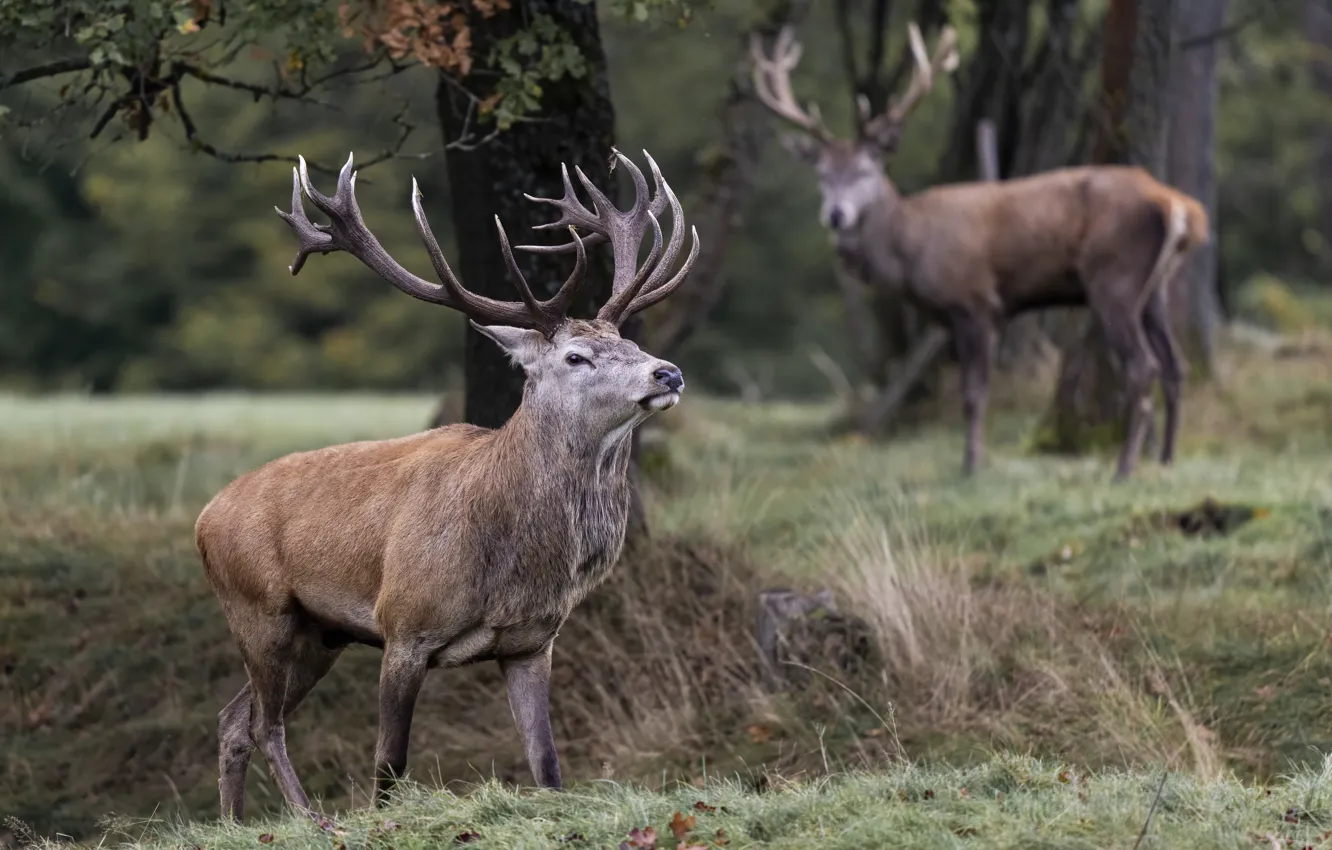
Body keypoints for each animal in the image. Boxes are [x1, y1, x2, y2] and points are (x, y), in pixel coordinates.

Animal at [194, 148, 698, 822]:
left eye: (629, 341)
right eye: (576, 357)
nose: (667, 372)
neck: (512, 565)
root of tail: (204, 518)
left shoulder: (532, 643)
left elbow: (548, 766)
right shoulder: (404, 625)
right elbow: (388, 763)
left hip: (320, 634)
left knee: (233, 719)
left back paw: (233, 823)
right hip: (259, 608)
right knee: (264, 723)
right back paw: (307, 816)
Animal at [751, 22, 1209, 480]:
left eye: (865, 171)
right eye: (822, 175)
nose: (836, 215)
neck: (910, 249)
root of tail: (1176, 204)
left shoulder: (975, 302)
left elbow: (973, 394)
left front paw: (971, 465)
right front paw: (973, 461)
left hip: (1114, 278)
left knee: (1143, 366)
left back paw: (1125, 468)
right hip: (1155, 287)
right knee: (1176, 366)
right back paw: (1167, 459)